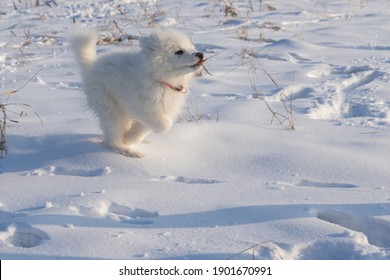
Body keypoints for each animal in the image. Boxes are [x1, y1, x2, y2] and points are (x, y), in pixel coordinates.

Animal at [70, 30, 204, 159]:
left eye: (192, 47)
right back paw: (128, 150)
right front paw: (128, 139)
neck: (159, 79)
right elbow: (165, 125)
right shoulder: (141, 107)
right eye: (179, 51)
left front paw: (130, 137)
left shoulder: (158, 110)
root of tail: (91, 67)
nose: (200, 54)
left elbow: (145, 127)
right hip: (110, 108)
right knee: (111, 137)